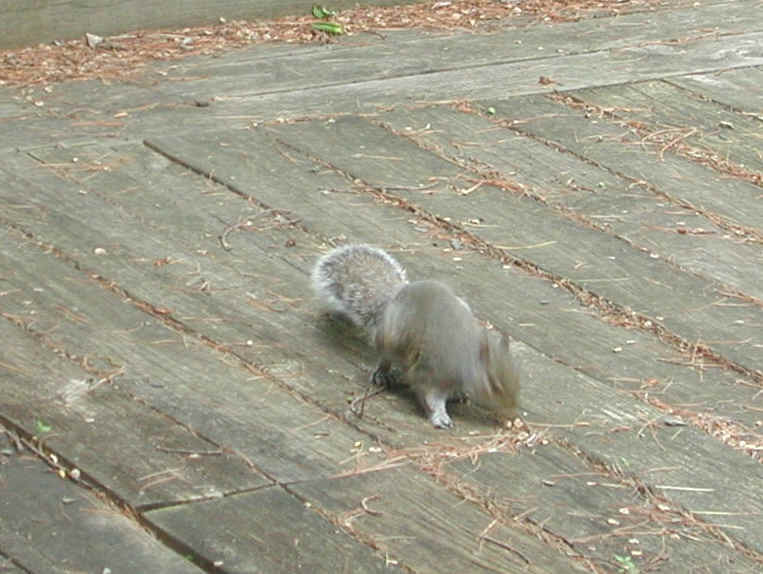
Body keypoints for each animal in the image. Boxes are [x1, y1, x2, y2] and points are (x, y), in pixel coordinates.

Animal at [312, 244, 520, 428]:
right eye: (493, 384)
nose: (511, 411)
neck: (466, 359)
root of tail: (394, 298)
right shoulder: (431, 371)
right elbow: (429, 396)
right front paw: (440, 417)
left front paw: (458, 394)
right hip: (391, 340)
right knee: (385, 358)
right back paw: (383, 374)